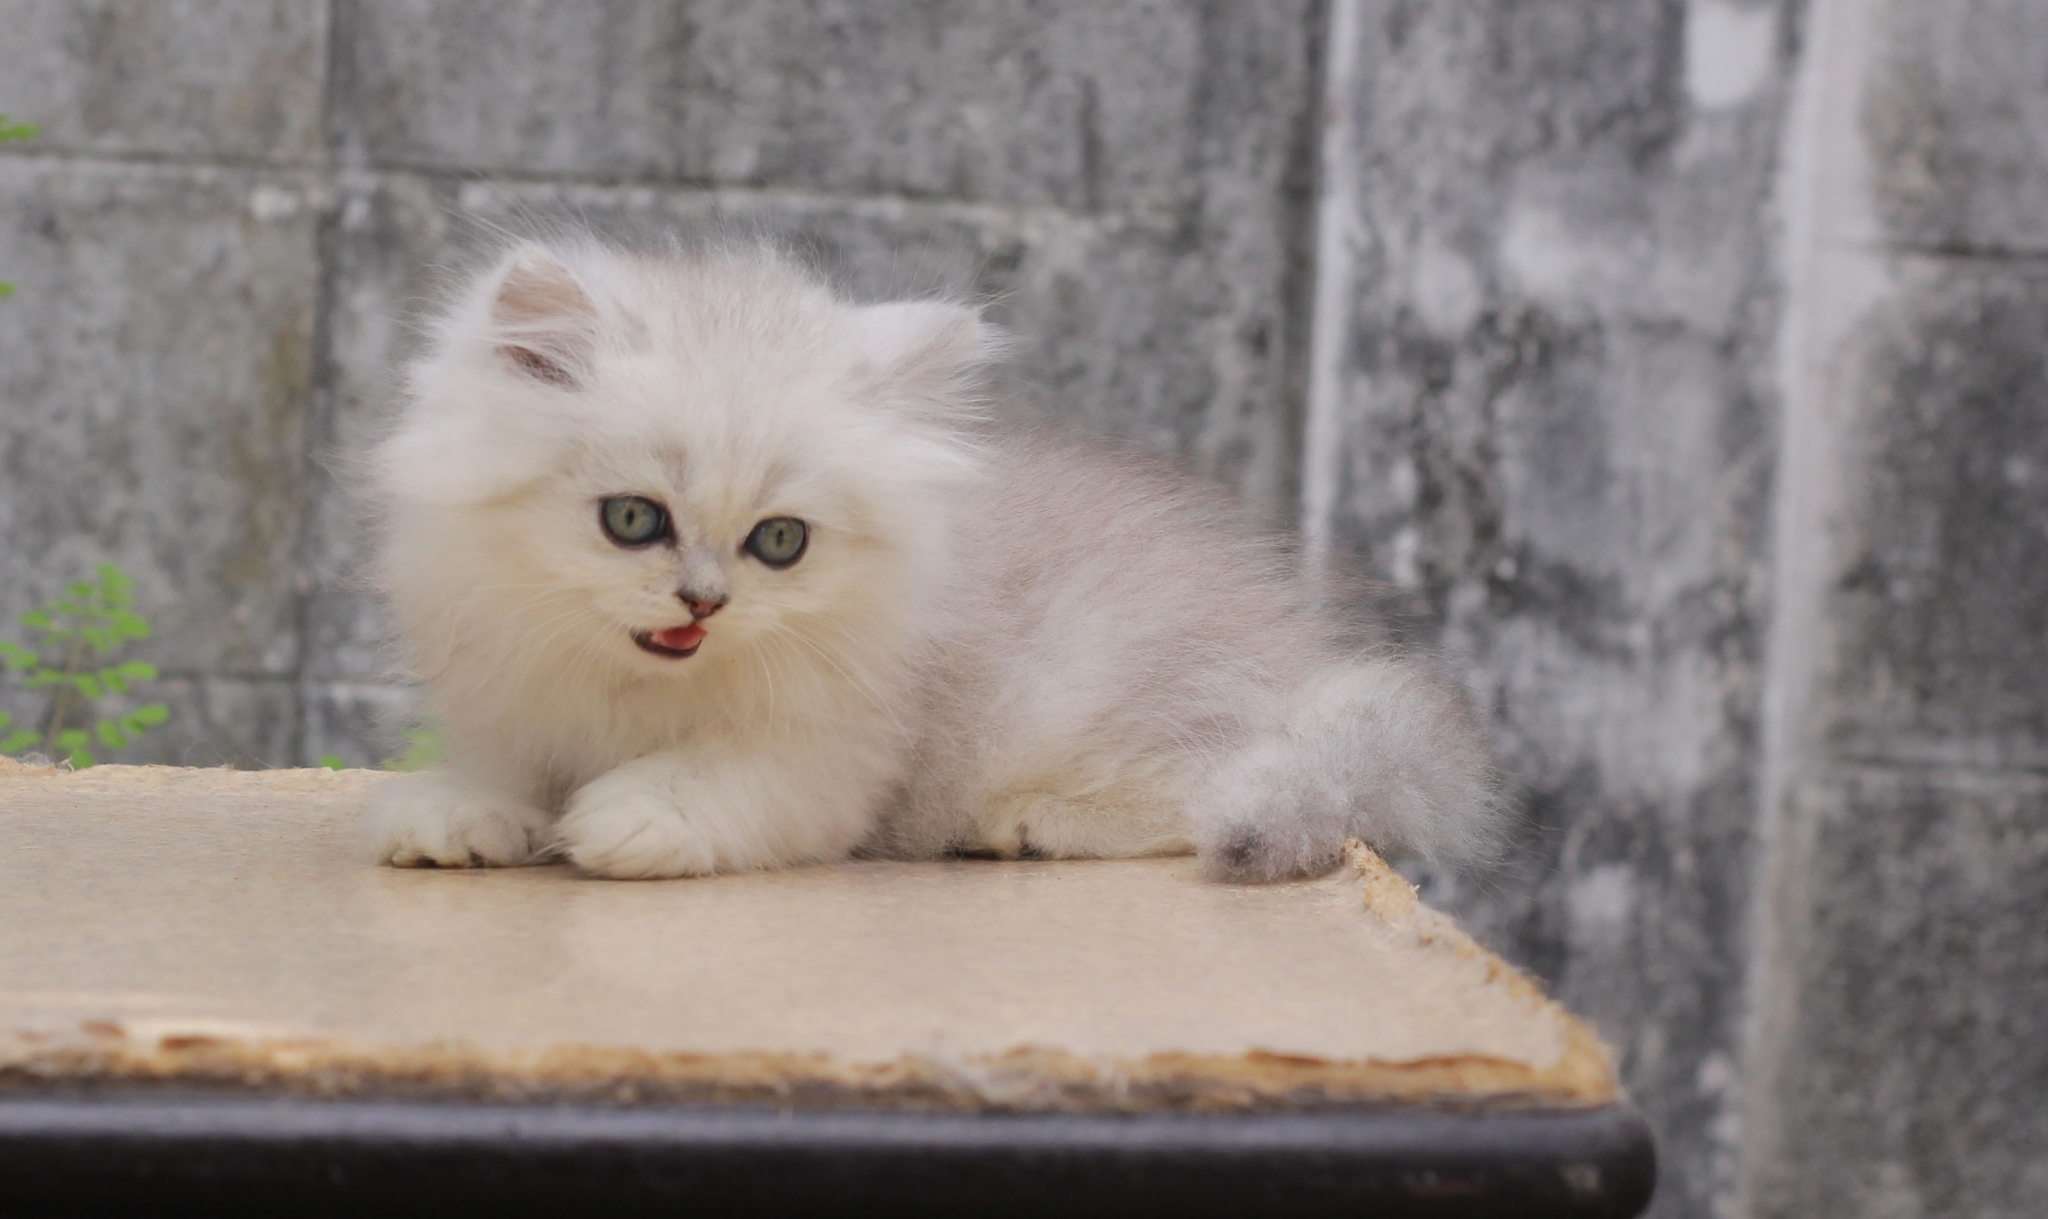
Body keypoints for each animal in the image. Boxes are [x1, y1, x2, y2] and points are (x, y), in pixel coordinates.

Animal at [365, 237, 1503, 883]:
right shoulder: (516, 698)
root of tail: (1310, 660)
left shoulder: (836, 759)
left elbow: (707, 785)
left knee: (1209, 789)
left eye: (779, 541)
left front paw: (621, 818)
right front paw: (460, 816)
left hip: (1111, 704)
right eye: (634, 519)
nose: (703, 603)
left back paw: (1028, 825)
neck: (637, 685)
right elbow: (501, 770)